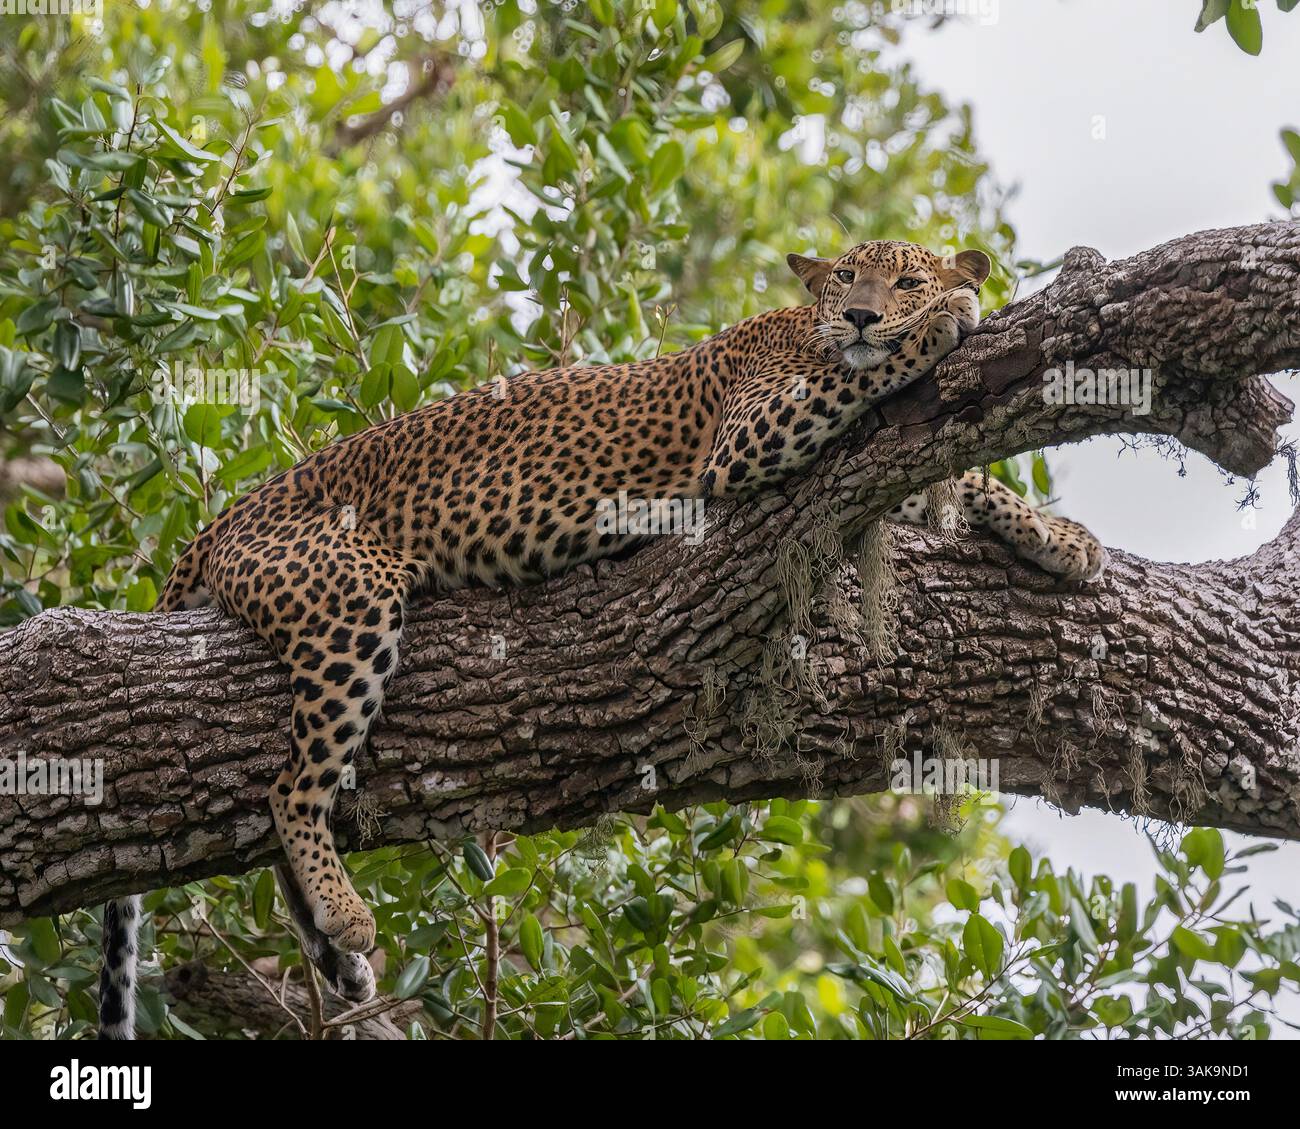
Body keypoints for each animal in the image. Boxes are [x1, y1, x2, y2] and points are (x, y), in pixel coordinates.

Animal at [97, 238, 1105, 1038]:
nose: (861, 313)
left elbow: (971, 481)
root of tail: (220, 523)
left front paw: (1061, 539)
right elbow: (858, 373)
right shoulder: (751, 434)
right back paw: (345, 915)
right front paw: (942, 325)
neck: (795, 321)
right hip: (350, 599)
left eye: (900, 278)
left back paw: (334, 951)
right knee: (289, 786)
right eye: (848, 281)